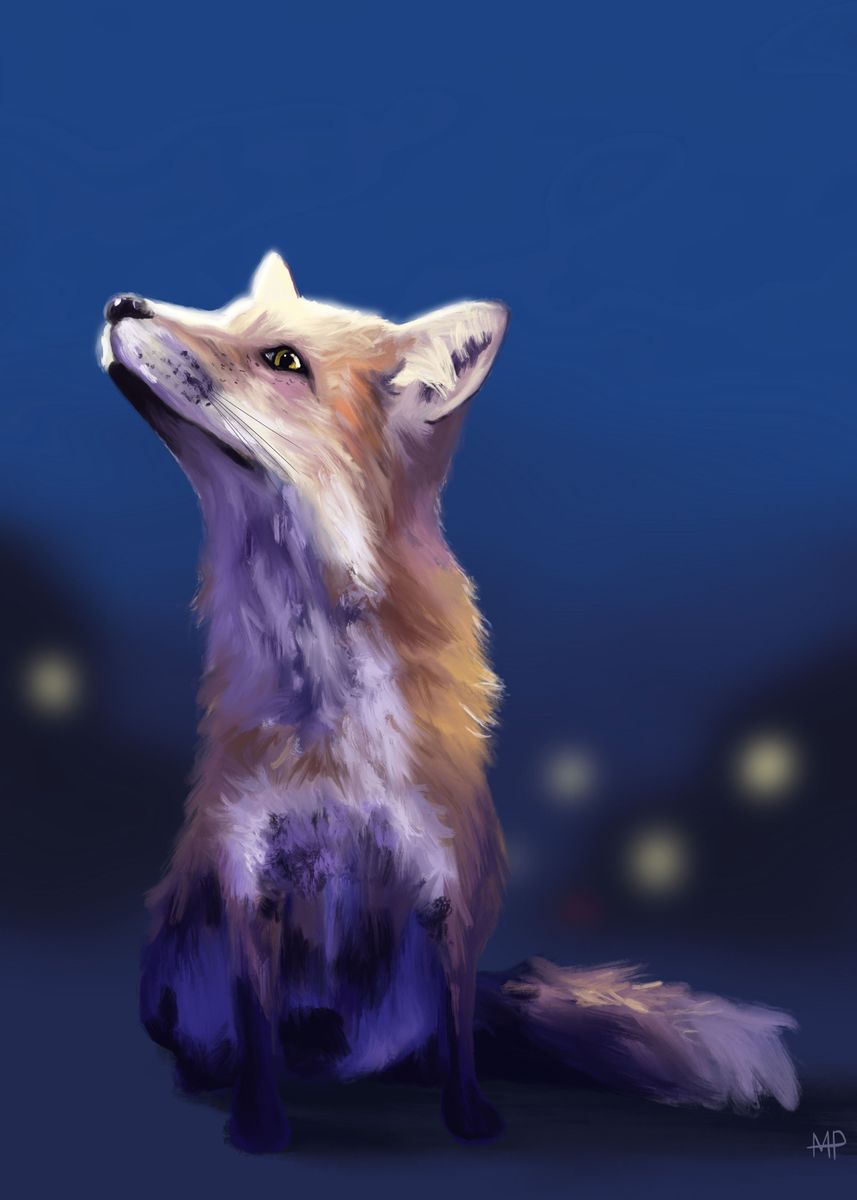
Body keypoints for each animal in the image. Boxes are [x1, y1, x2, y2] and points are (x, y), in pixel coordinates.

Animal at [99, 253, 798, 1152]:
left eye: (282, 359)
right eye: (228, 316)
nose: (121, 302)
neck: (331, 718)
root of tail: (336, 1052)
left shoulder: (445, 880)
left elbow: (464, 1028)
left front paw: (470, 1118)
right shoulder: (250, 868)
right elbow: (256, 1024)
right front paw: (259, 1124)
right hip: (177, 975)